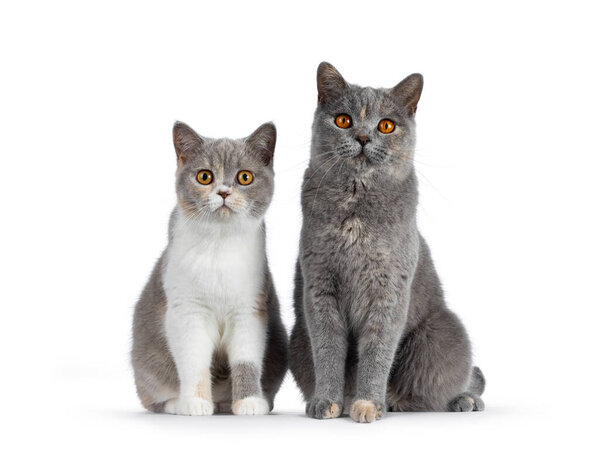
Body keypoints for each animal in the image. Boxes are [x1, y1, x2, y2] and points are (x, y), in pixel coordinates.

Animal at [131, 119, 288, 414]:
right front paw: (195, 402)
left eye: (245, 177)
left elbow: (247, 360)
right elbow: (194, 362)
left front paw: (249, 402)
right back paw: (177, 403)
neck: (219, 244)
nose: (224, 192)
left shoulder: (250, 310)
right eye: (204, 176)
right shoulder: (187, 310)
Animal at [288, 62, 486, 422]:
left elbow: (378, 349)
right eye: (343, 120)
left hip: (443, 333)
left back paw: (463, 399)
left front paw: (367, 403)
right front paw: (327, 401)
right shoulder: (320, 286)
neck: (356, 204)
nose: (364, 137)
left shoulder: (389, 288)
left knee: (444, 385)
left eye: (387, 125)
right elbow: (327, 349)